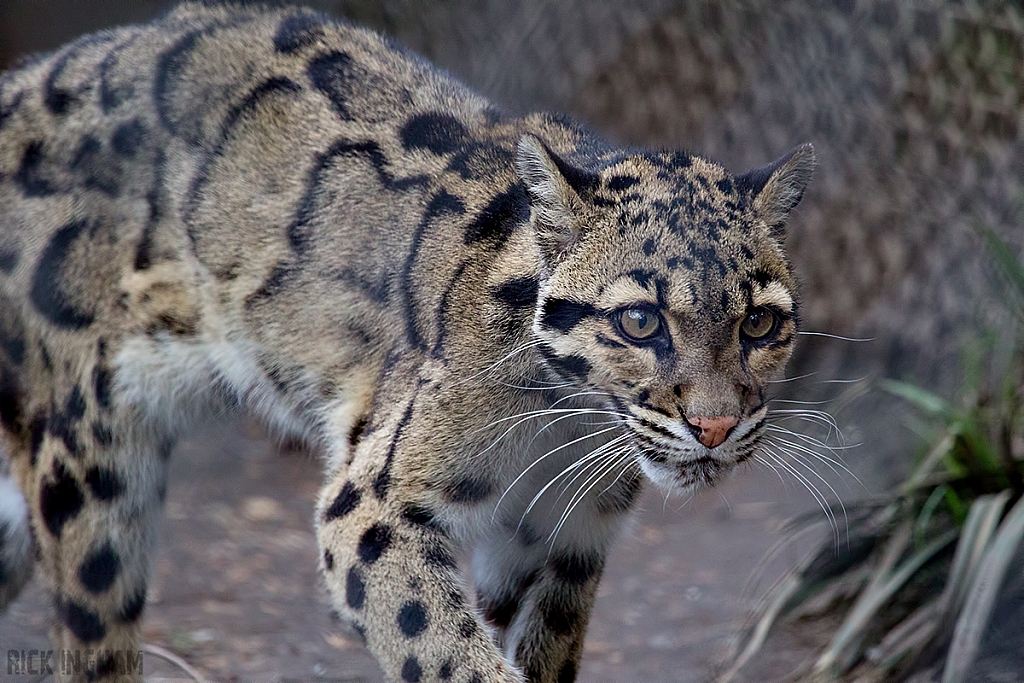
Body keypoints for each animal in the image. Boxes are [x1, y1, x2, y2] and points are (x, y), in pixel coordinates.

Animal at [0, 2, 815, 679]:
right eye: (640, 320)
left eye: (759, 323)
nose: (716, 425)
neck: (564, 430)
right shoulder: (371, 508)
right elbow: (449, 652)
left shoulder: (559, 543)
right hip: (88, 460)